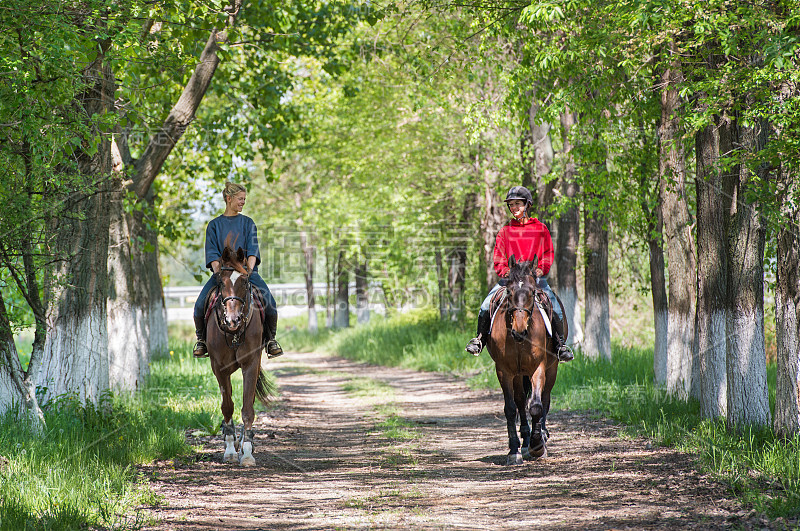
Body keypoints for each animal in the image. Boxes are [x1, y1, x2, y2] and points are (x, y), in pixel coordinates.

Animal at [206, 245, 272, 466]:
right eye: (221, 281)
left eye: (244, 281)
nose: (233, 320)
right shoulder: (219, 368)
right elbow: (227, 407)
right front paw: (229, 450)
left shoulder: (251, 364)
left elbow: (247, 409)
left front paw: (248, 453)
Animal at [488, 256, 564, 464]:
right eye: (509, 291)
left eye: (532, 292)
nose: (519, 331)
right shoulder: (504, 371)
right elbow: (511, 408)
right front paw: (514, 449)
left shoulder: (538, 368)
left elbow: (537, 406)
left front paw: (538, 446)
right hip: (517, 375)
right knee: (521, 400)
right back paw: (525, 439)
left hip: (552, 369)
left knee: (545, 398)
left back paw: (541, 435)